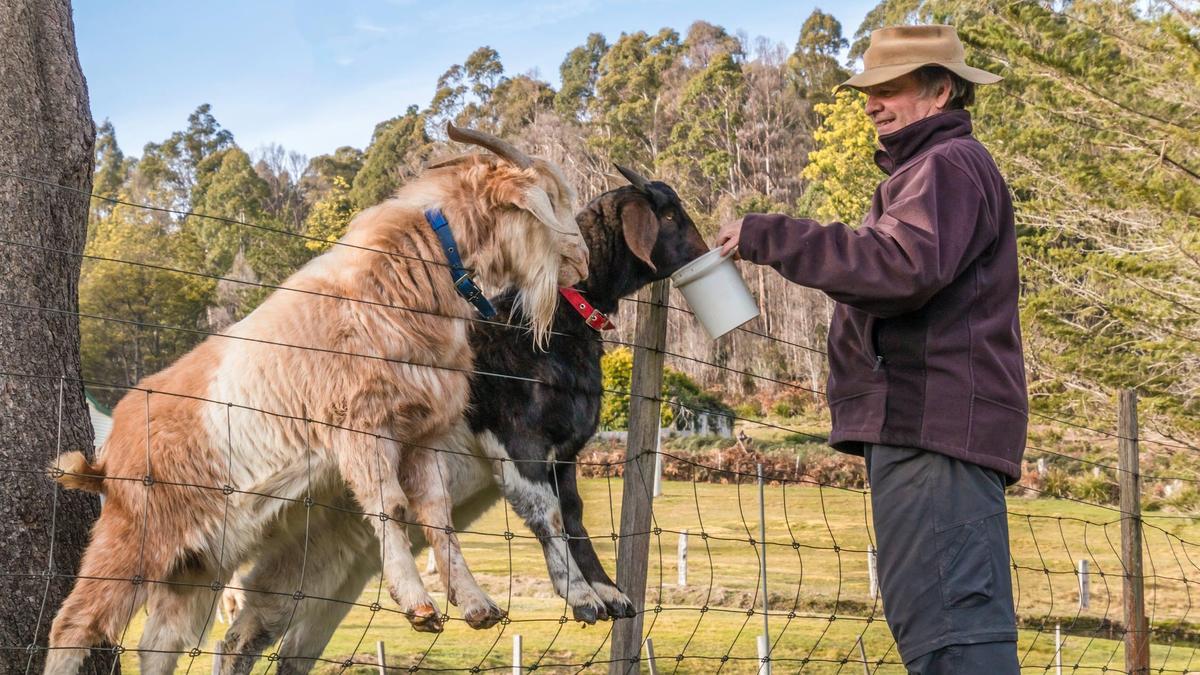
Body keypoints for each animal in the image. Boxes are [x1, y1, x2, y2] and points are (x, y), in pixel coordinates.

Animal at [44, 123, 588, 667]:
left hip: (196, 563)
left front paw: (476, 605)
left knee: (159, 643)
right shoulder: (360, 425)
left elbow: (437, 517)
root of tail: (109, 450)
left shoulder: (422, 432)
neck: (403, 278)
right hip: (133, 536)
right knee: (75, 623)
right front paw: (418, 606)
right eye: (552, 199)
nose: (581, 262)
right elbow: (391, 507)